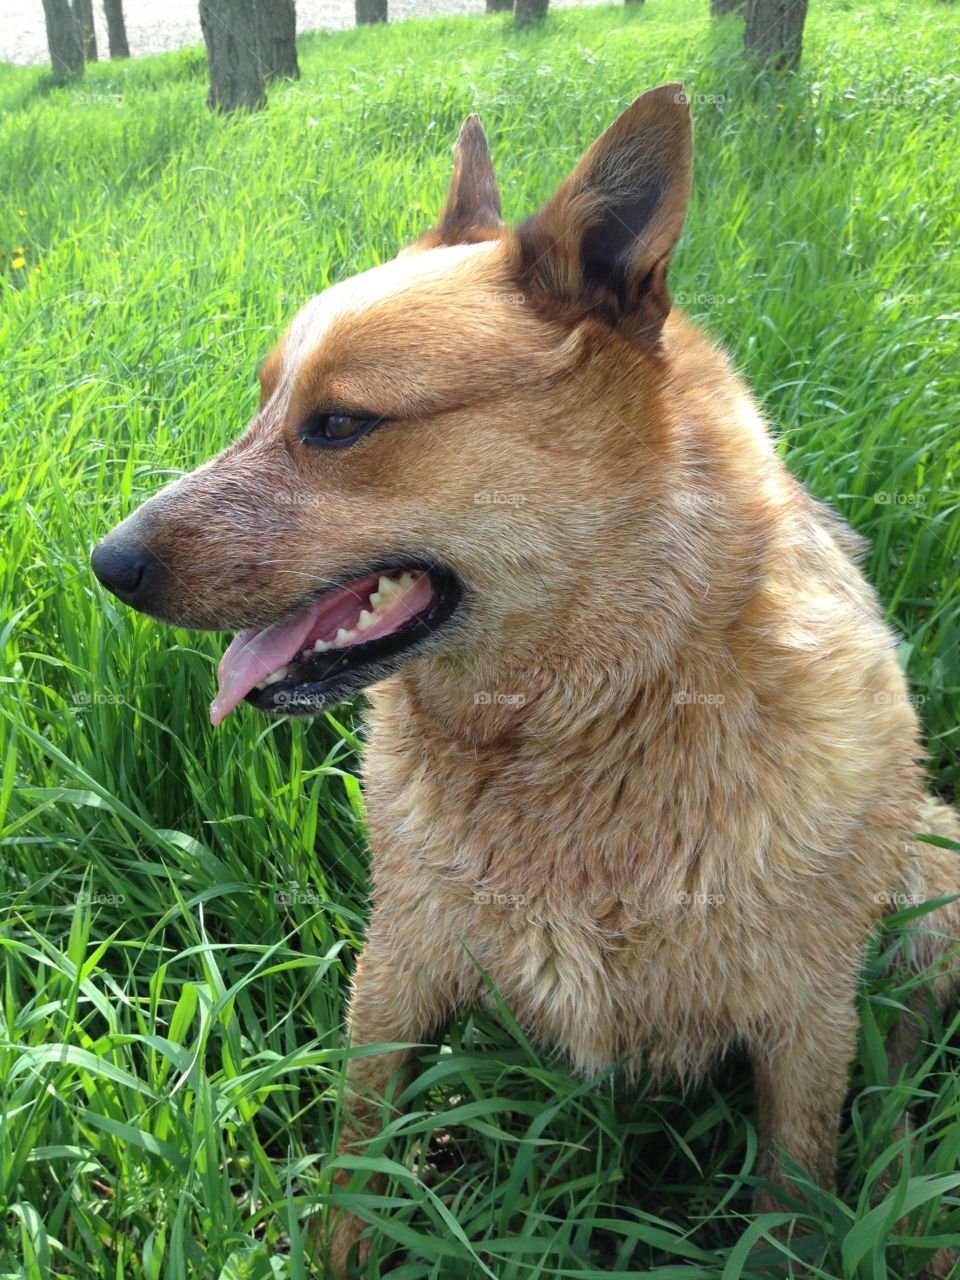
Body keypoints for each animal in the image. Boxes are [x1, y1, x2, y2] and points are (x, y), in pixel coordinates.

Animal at [92, 85, 960, 1274]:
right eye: (264, 400)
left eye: (339, 424)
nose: (107, 562)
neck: (585, 724)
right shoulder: (399, 967)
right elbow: (357, 1160)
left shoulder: (805, 1023)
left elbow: (792, 1198)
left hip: (933, 882)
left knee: (901, 1085)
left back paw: (916, 1213)